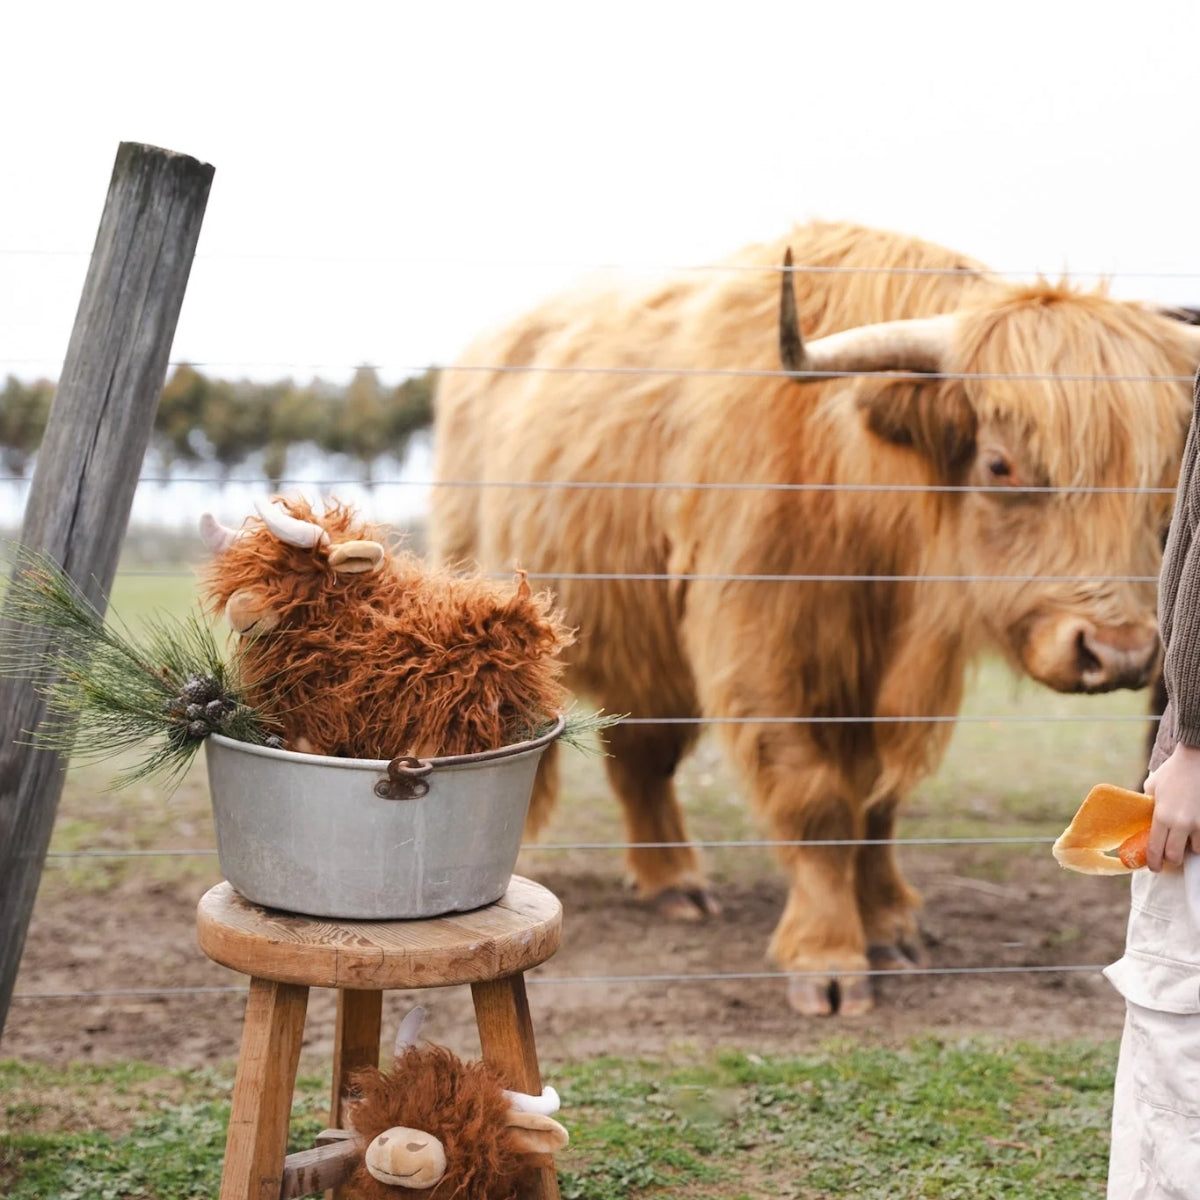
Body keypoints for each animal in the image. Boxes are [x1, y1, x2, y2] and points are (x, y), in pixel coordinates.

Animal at [428, 220, 1200, 1016]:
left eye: (1154, 480)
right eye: (999, 465)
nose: (1117, 652)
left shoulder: (891, 681)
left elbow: (878, 808)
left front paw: (889, 927)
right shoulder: (761, 651)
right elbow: (819, 803)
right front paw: (829, 959)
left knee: (644, 757)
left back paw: (674, 883)